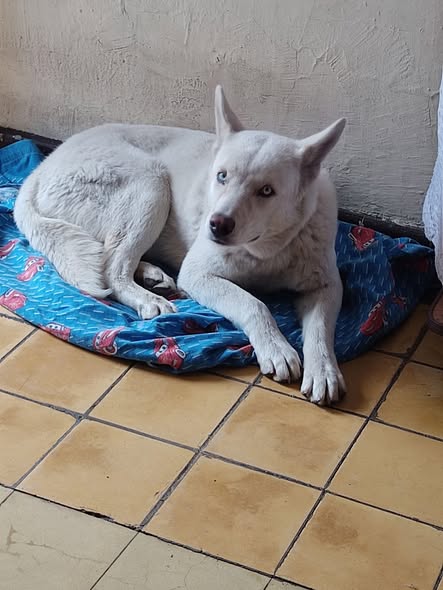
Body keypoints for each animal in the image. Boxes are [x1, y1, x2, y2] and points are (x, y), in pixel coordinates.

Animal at [14, 86, 346, 405]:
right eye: (222, 176)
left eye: (267, 191)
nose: (217, 224)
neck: (266, 249)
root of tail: (41, 169)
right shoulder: (199, 274)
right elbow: (253, 304)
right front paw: (276, 347)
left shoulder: (325, 286)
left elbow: (320, 330)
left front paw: (324, 371)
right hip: (151, 182)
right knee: (112, 268)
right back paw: (148, 297)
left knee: (113, 257)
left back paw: (152, 276)